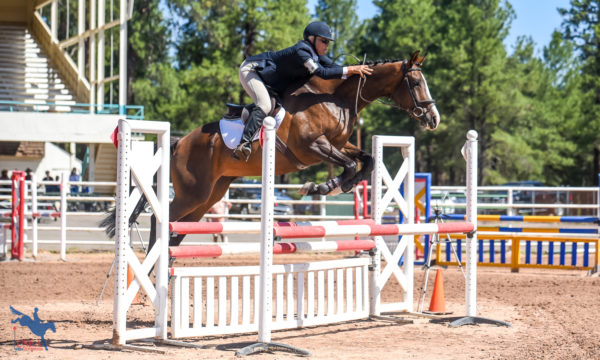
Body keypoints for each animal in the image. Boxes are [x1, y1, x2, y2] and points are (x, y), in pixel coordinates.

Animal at [103, 50, 438, 249]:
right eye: (416, 83)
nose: (434, 119)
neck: (334, 98)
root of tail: (179, 142)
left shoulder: (340, 143)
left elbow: (365, 161)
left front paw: (331, 185)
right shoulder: (313, 146)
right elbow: (351, 165)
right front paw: (321, 185)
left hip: (210, 195)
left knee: (180, 228)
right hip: (192, 192)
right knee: (162, 221)